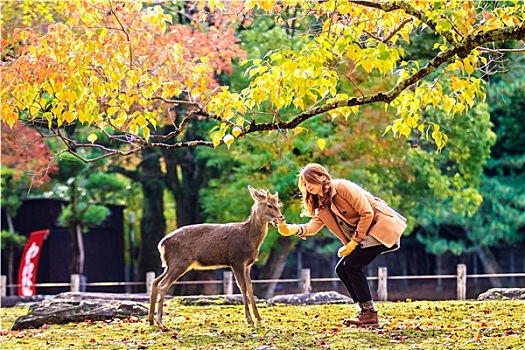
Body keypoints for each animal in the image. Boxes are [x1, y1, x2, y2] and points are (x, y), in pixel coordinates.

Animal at [147, 185, 284, 330]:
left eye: (278, 204)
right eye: (269, 205)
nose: (282, 218)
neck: (249, 238)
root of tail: (161, 244)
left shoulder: (248, 264)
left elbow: (250, 286)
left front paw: (259, 318)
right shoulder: (236, 260)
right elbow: (242, 287)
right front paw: (249, 319)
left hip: (170, 264)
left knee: (155, 282)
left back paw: (151, 320)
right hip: (180, 262)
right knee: (163, 285)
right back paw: (160, 322)